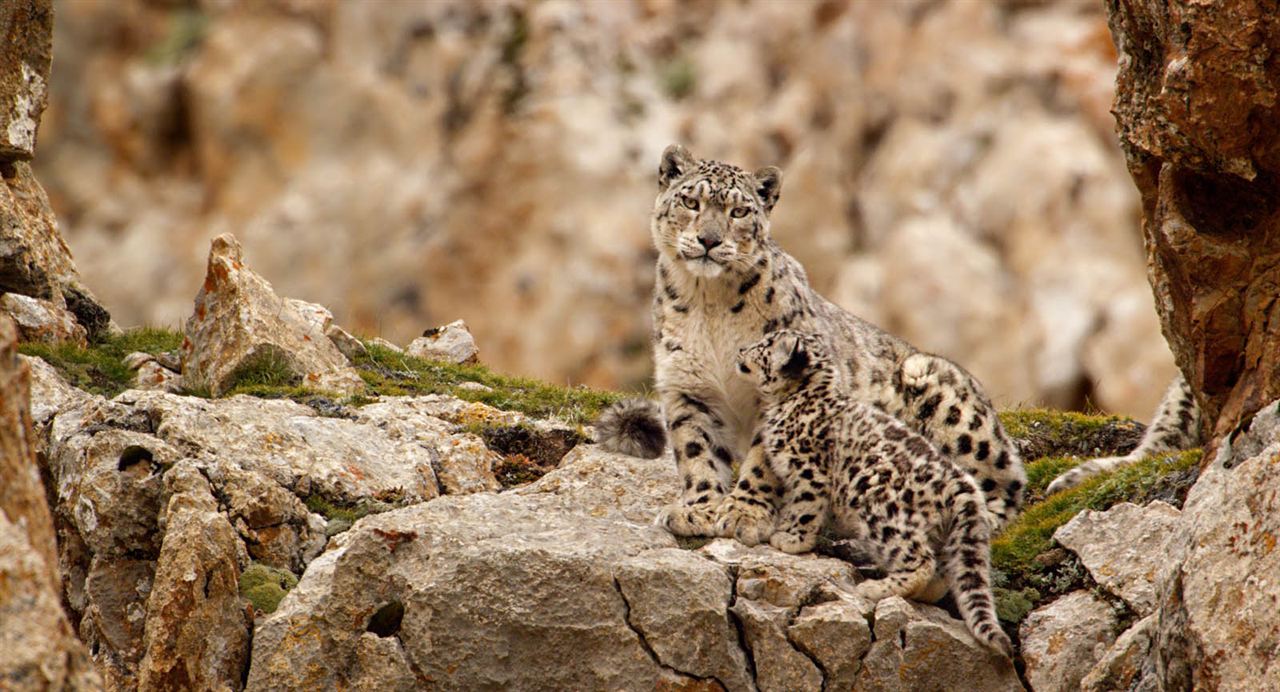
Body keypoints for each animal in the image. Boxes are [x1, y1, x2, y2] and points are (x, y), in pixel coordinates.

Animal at [599, 144, 1029, 539]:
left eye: (739, 212)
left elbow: (762, 460)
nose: (708, 240)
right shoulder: (688, 389)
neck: (709, 303)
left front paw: (744, 514)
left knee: (1005, 477)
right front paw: (700, 509)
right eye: (691, 201)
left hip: (942, 395)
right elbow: (697, 453)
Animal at [737, 330, 1013, 660]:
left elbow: (803, 508)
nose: (740, 350)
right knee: (944, 570)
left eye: (763, 346)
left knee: (921, 560)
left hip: (882, 512)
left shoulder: (809, 472)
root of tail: (961, 483)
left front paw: (790, 539)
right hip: (945, 533)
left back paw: (876, 588)